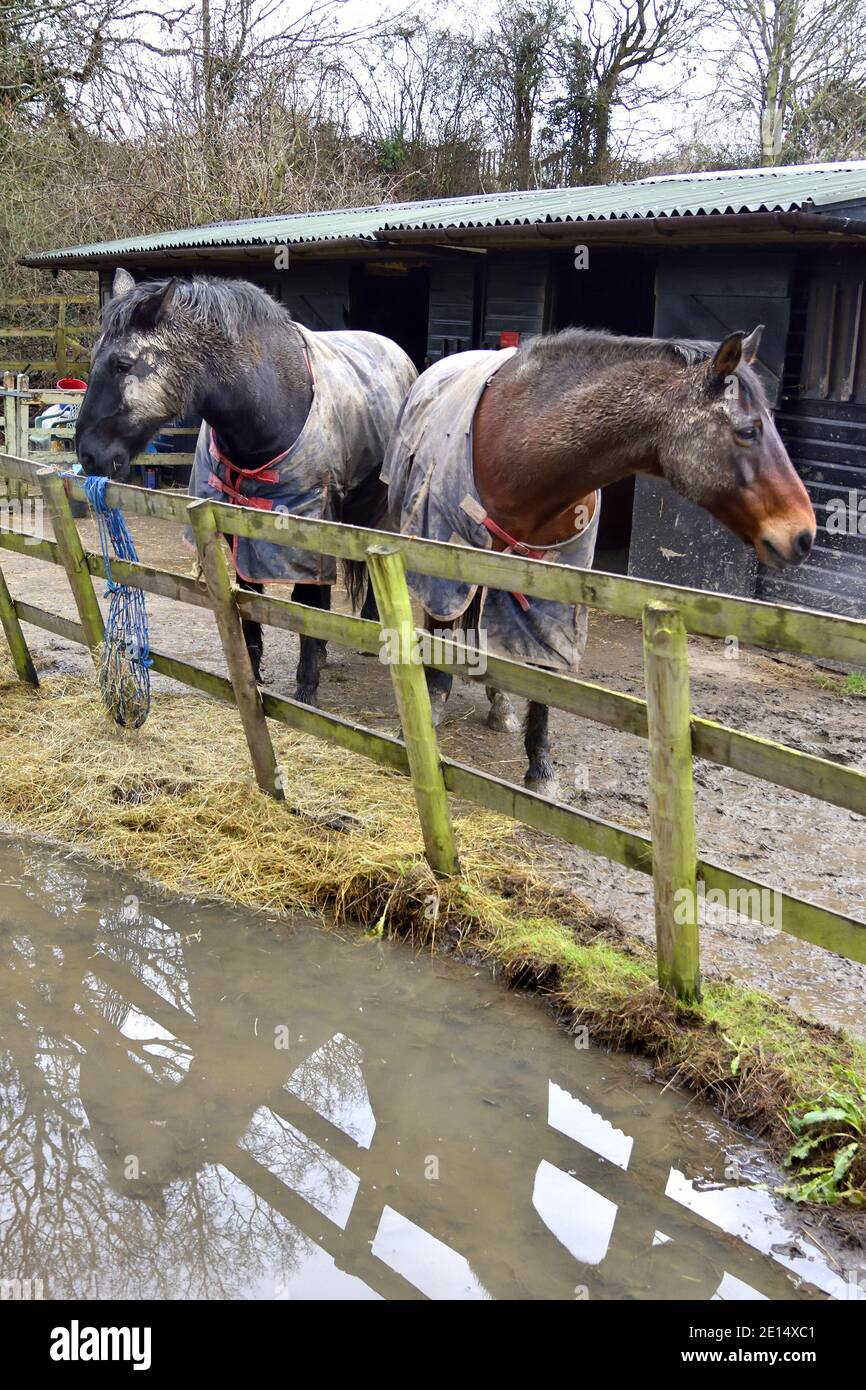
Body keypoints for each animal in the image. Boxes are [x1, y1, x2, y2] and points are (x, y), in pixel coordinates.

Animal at [74, 271, 417, 706]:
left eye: (122, 364)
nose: (88, 455)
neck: (273, 402)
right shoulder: (237, 522)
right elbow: (249, 595)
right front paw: (250, 675)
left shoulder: (311, 521)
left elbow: (307, 601)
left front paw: (306, 687)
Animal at [383, 325, 817, 800]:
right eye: (748, 431)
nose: (803, 534)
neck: (516, 449)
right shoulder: (439, 550)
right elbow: (440, 630)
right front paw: (427, 712)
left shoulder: (553, 583)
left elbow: (546, 670)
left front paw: (540, 767)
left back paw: (500, 702)